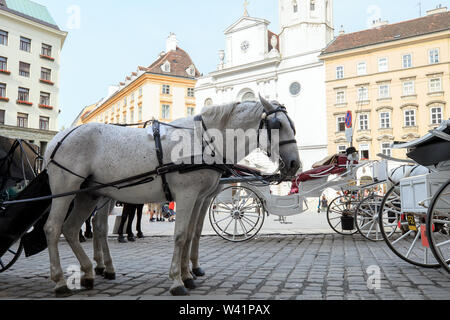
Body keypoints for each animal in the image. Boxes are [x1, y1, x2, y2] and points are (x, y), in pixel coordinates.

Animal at [44, 96, 300, 296]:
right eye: (277, 125)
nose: (295, 164)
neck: (203, 141)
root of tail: (58, 139)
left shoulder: (199, 198)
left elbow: (191, 234)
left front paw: (188, 275)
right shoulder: (187, 195)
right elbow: (180, 236)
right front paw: (177, 281)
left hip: (89, 195)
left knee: (75, 229)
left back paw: (89, 272)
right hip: (67, 192)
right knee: (54, 228)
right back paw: (60, 281)